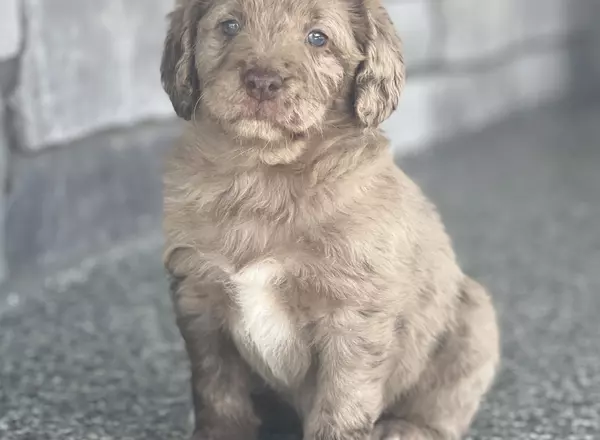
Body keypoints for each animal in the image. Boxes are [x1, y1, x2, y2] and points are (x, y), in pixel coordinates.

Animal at [162, 0, 500, 440]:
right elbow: (217, 389)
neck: (263, 175)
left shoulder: (354, 315)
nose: (262, 81)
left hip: (475, 321)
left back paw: (404, 428)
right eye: (230, 25)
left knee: (443, 405)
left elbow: (342, 403)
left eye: (317, 37)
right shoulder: (199, 299)